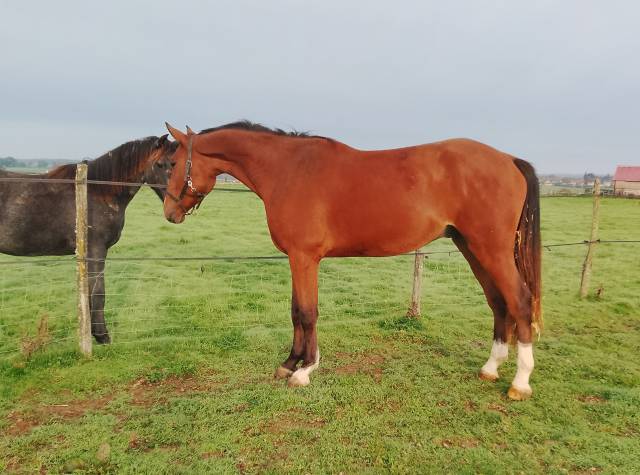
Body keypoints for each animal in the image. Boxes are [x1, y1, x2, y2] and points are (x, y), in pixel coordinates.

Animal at [0, 135, 177, 343]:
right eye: (159, 164)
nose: (176, 201)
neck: (98, 192)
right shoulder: (96, 250)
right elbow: (98, 292)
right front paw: (101, 336)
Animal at [162, 121, 541, 400]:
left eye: (171, 163)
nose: (169, 213)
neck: (289, 170)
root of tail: (509, 160)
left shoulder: (305, 258)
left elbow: (307, 312)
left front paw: (305, 370)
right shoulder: (297, 259)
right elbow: (295, 310)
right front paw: (289, 363)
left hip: (491, 250)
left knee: (520, 301)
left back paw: (519, 383)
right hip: (471, 247)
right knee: (498, 302)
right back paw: (490, 368)